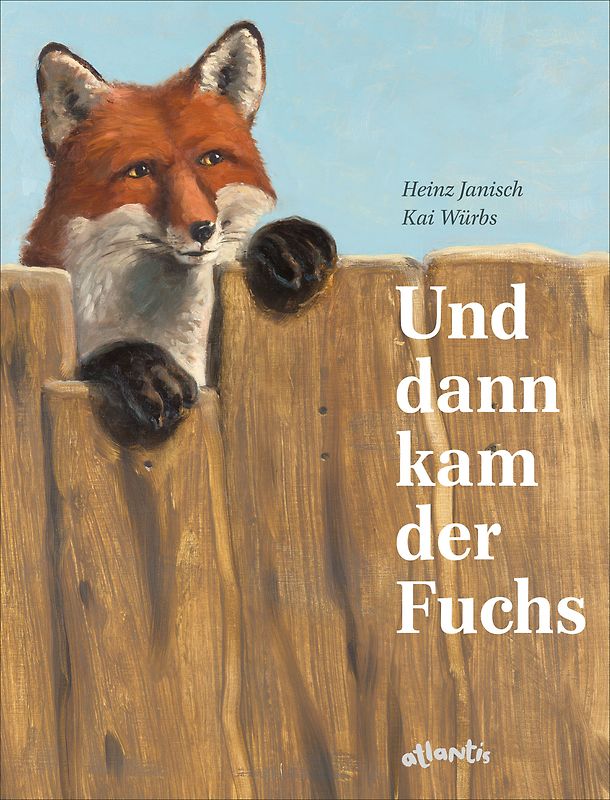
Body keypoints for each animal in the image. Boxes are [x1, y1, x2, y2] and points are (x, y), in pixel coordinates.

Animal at [23, 21, 336, 440]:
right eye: (140, 171)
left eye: (211, 159)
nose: (202, 228)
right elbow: (96, 359)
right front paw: (144, 368)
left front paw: (286, 241)